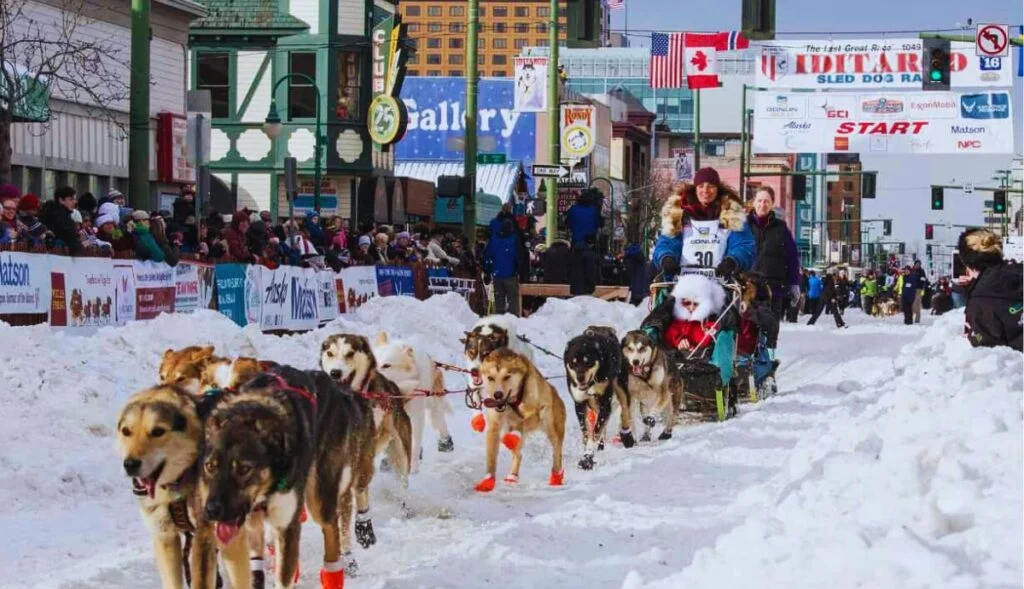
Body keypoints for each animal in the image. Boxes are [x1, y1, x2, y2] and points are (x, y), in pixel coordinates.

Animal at [473, 350, 569, 493]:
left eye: (507, 377)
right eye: (490, 378)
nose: (497, 394)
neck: (512, 403)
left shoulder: (538, 412)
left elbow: (522, 423)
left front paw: (512, 435)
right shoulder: (494, 426)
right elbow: (491, 457)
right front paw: (488, 480)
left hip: (551, 427)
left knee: (557, 451)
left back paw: (556, 477)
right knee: (518, 454)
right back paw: (512, 476)